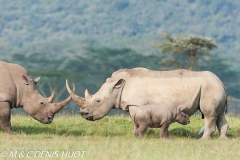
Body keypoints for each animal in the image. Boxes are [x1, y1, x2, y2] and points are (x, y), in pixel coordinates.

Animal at [66, 67, 228, 140]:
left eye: (97, 101)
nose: (83, 114)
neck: (117, 87)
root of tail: (221, 82)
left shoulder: (135, 104)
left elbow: (135, 120)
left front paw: (136, 135)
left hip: (210, 88)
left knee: (209, 114)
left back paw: (203, 140)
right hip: (215, 88)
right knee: (220, 115)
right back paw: (222, 139)